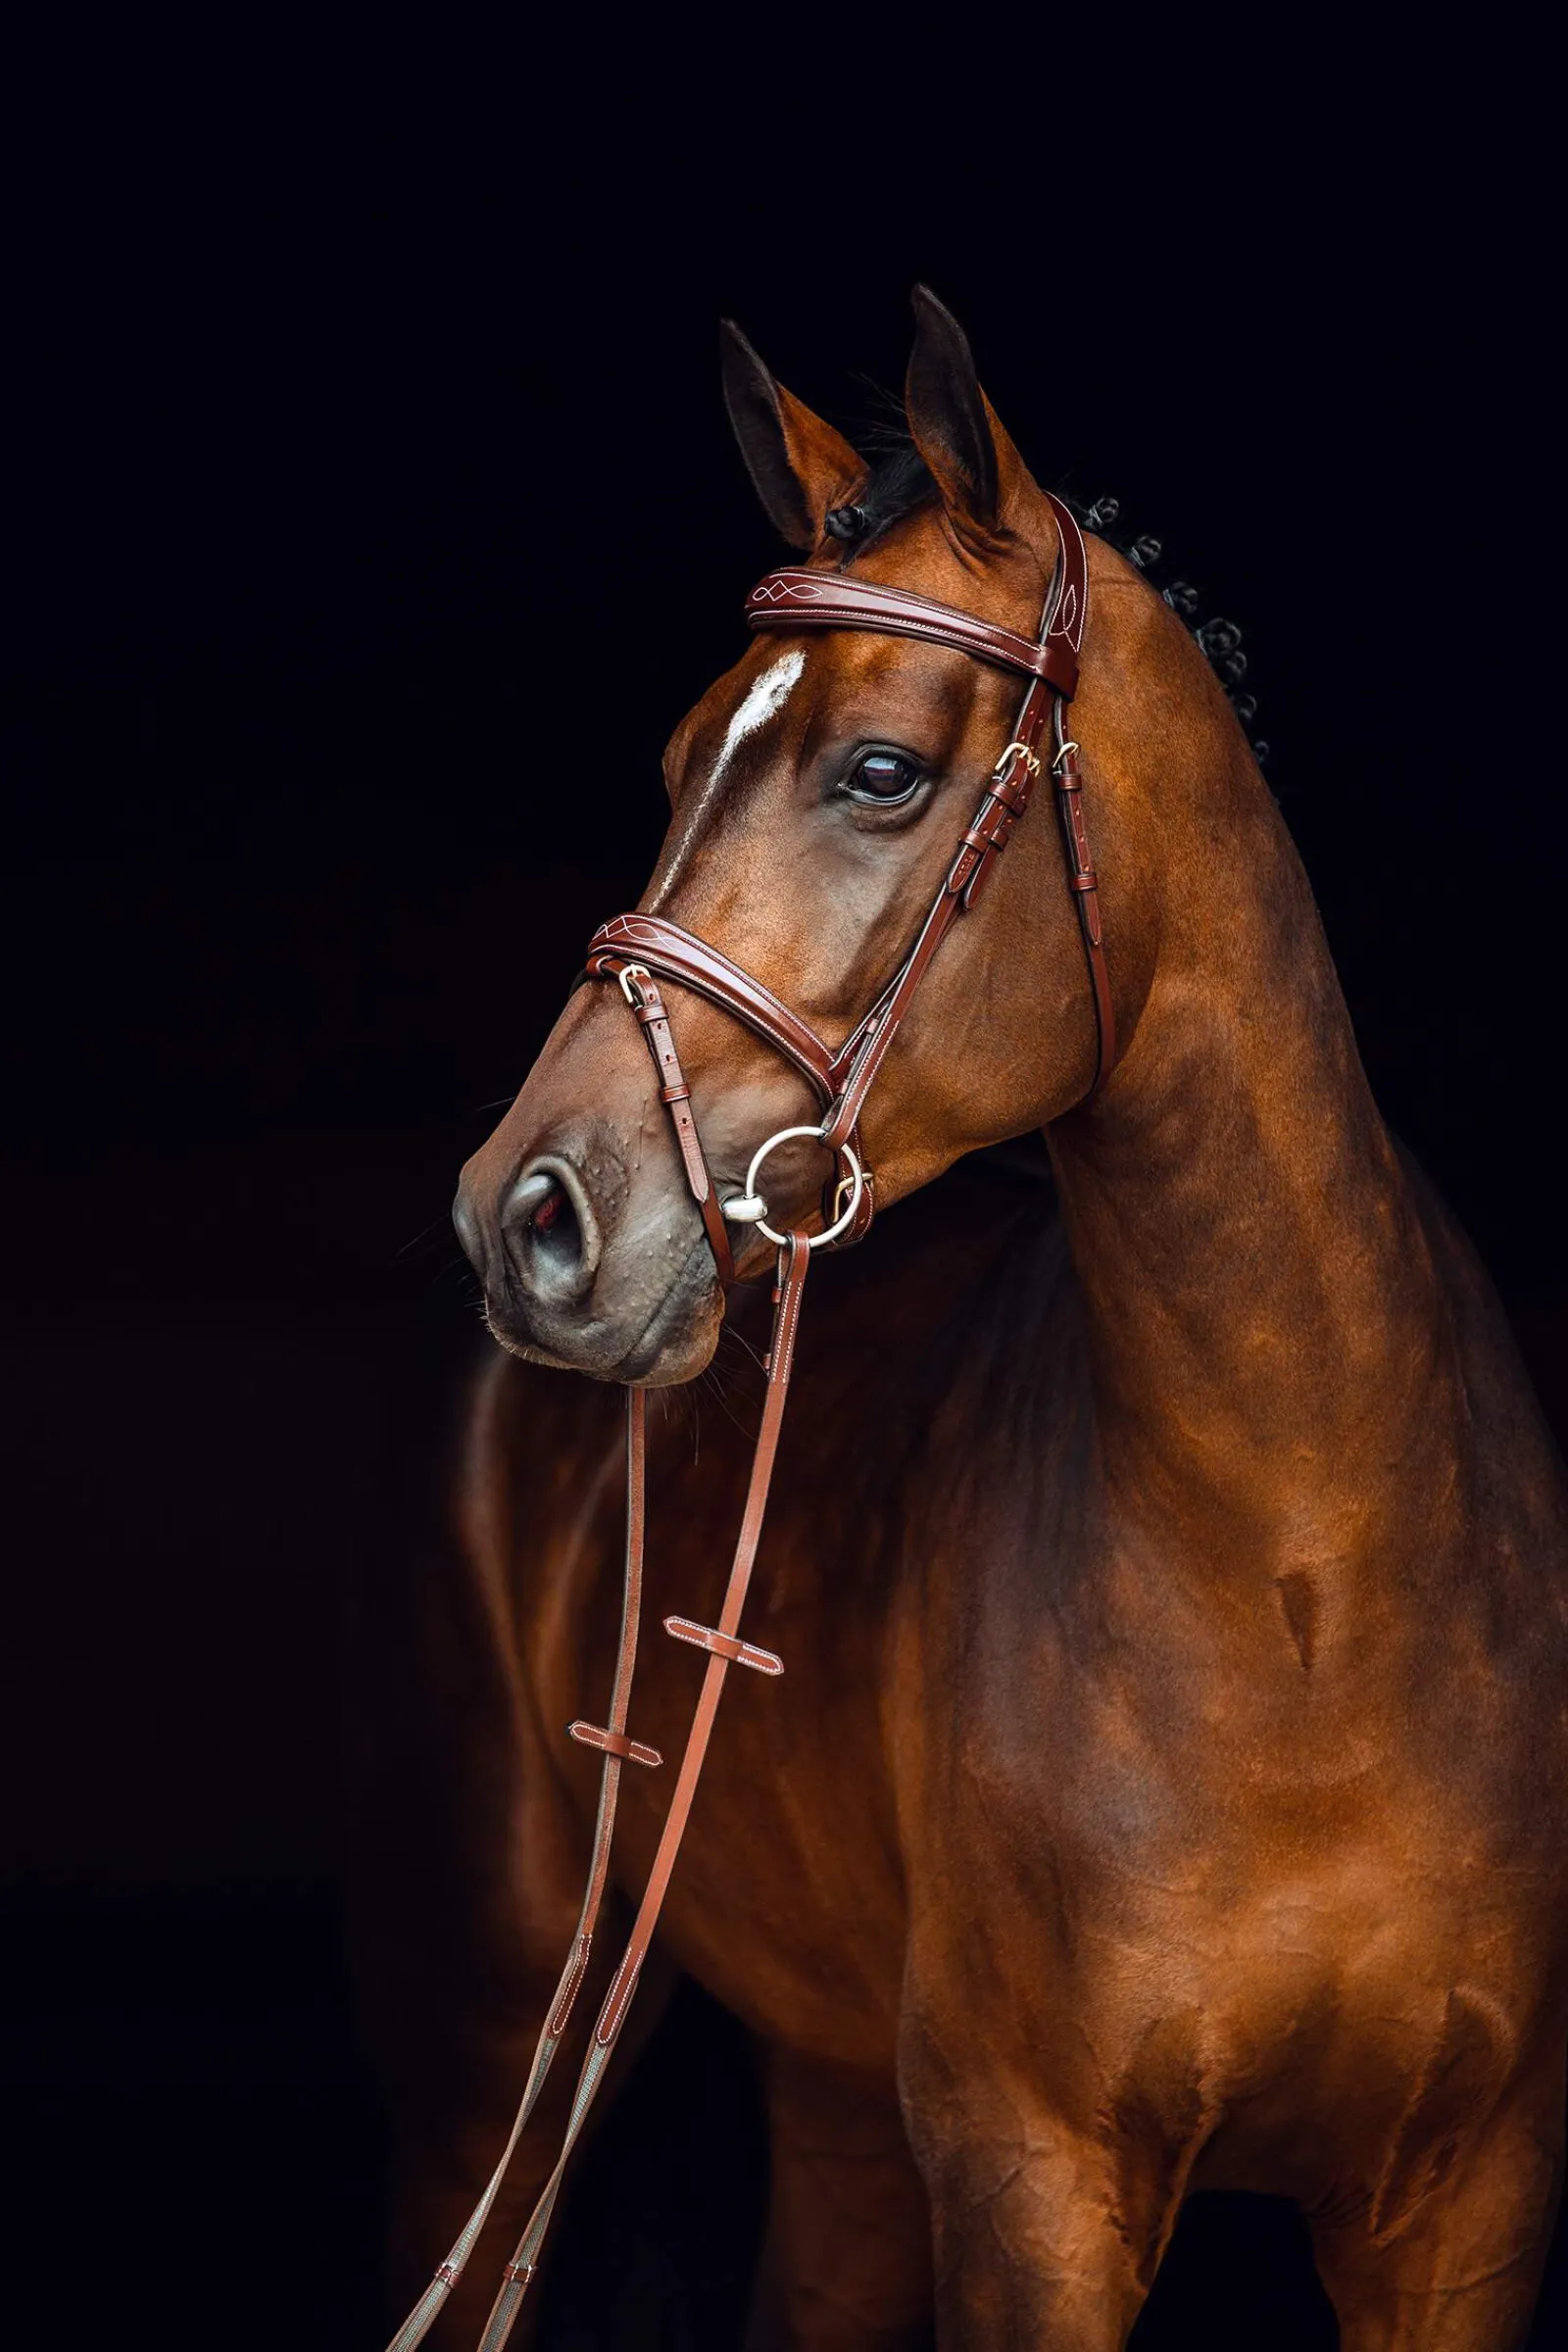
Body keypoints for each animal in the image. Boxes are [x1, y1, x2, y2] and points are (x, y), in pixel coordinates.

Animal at [369, 288, 1568, 2347]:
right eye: (677, 755)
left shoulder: (1467, 2203)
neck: (1310, 1594)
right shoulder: (1034, 2190)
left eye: (878, 771)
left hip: (839, 2093)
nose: (524, 1215)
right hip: (504, 2007)